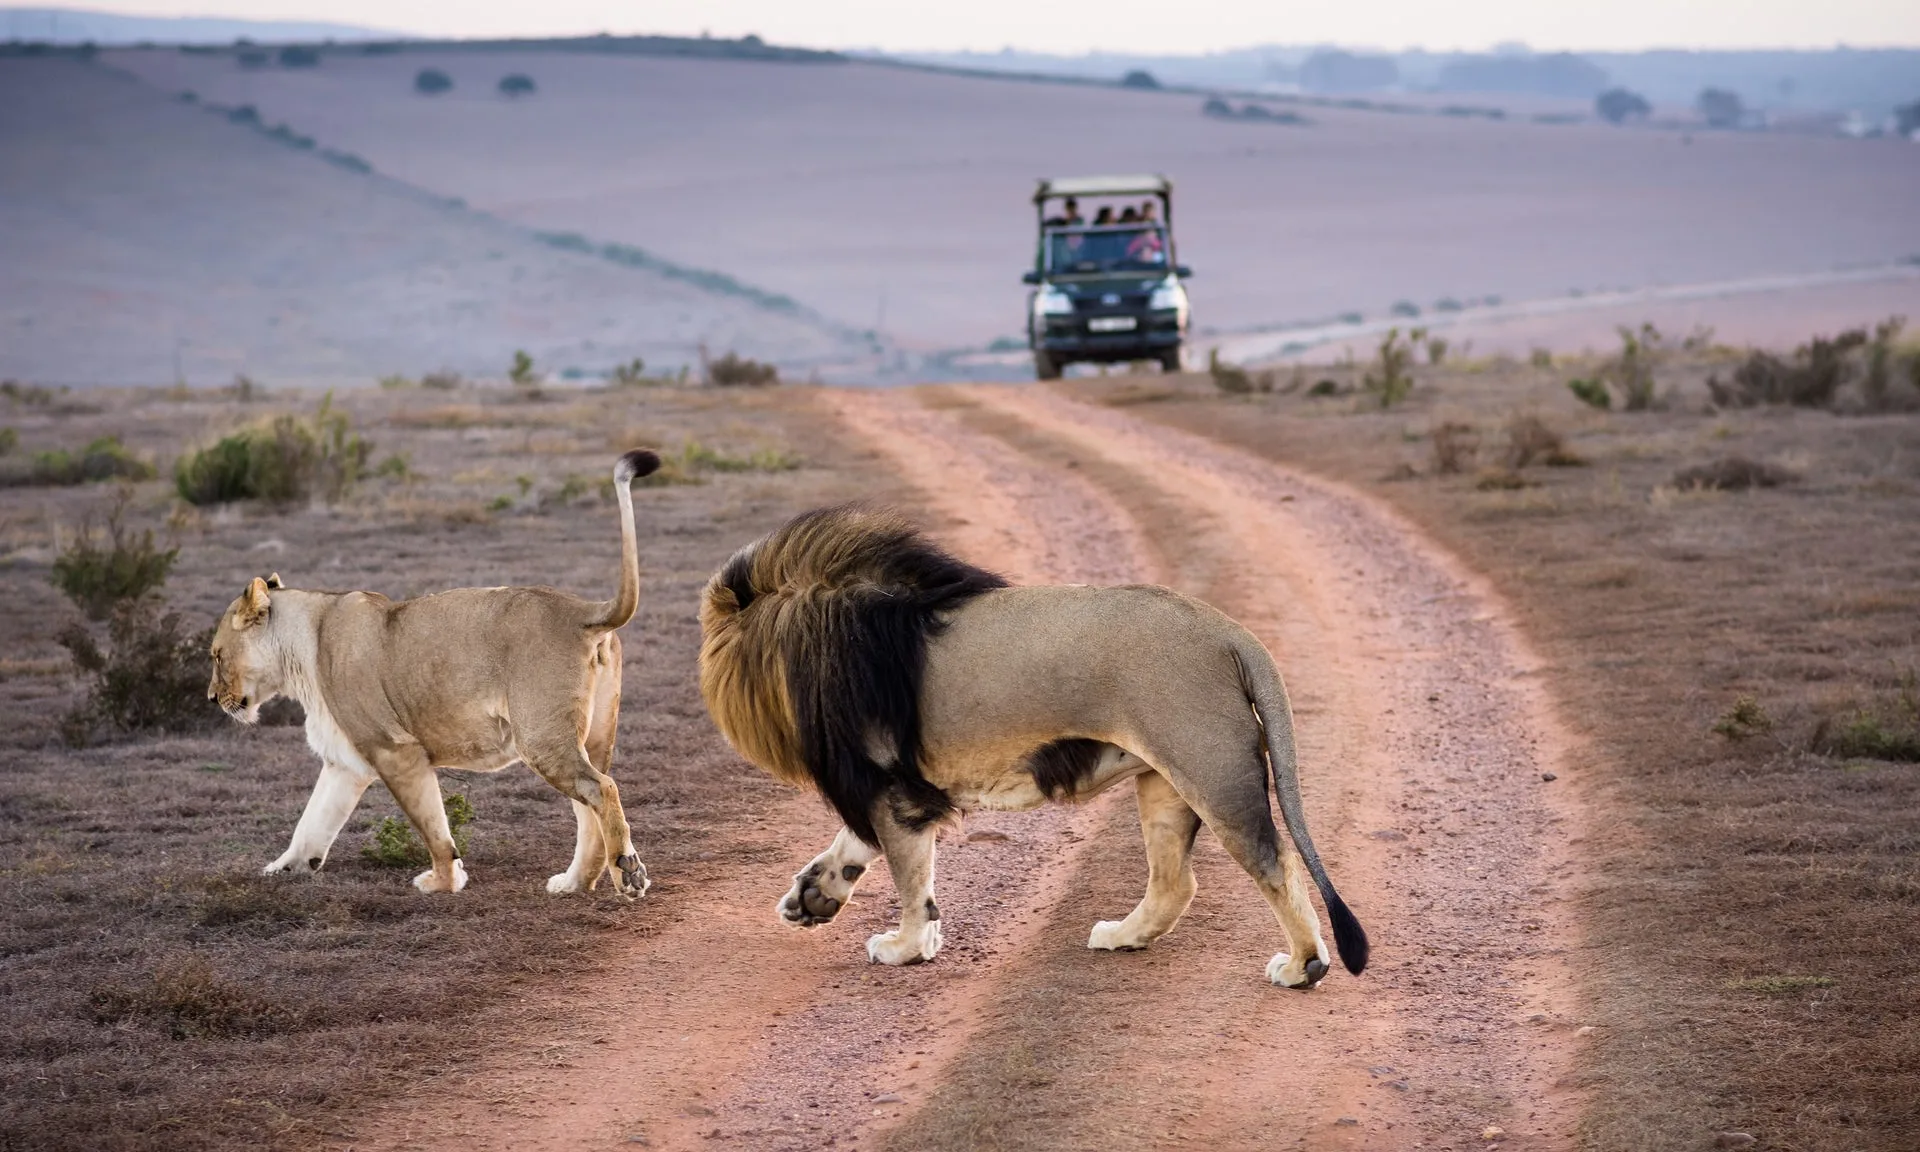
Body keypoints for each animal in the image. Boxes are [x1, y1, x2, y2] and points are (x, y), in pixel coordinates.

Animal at [206, 449, 664, 898]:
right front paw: (280, 870)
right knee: (591, 803)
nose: (211, 698)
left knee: (601, 788)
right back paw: (574, 883)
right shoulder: (345, 763)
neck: (305, 643)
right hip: (589, 737)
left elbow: (433, 828)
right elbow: (311, 823)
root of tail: (582, 610)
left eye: (215, 656)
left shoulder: (396, 750)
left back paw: (628, 873)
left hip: (541, 737)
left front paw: (443, 881)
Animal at [702, 503, 1367, 990]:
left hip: (1211, 771)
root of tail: (1230, 631)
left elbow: (910, 879)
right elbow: (853, 847)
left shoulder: (891, 786)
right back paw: (1123, 936)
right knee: (1176, 882)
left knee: (1274, 861)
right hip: (1164, 782)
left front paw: (906, 947)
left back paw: (1303, 966)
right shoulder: (891, 786)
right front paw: (814, 897)